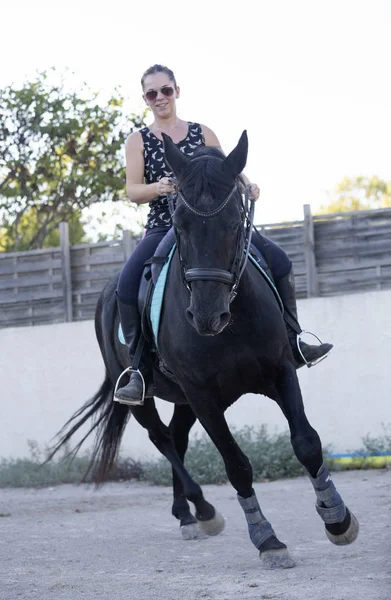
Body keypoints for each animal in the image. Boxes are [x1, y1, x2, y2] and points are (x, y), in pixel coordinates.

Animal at [50, 130, 360, 568]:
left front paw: (337, 520)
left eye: (234, 223)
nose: (207, 317)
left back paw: (187, 514)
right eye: (179, 224)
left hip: (183, 398)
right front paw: (268, 540)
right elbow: (236, 464)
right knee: (162, 440)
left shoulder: (280, 371)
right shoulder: (203, 396)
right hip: (149, 395)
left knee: (176, 437)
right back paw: (201, 509)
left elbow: (307, 442)